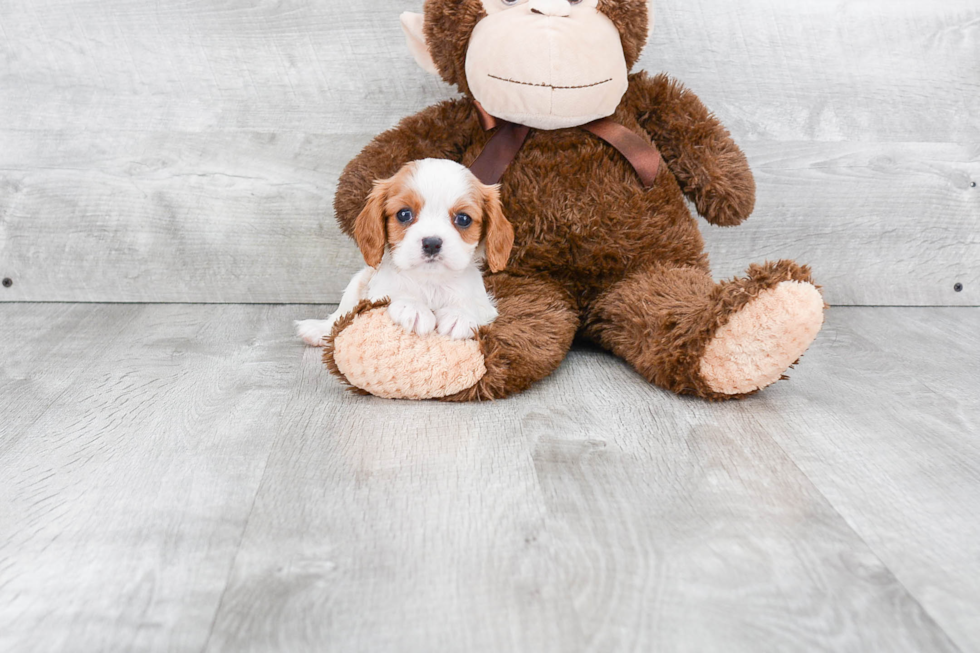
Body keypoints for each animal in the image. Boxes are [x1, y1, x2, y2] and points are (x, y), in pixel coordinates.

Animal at [296, 159, 512, 344]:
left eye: (464, 219)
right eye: (404, 214)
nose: (432, 243)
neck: (431, 282)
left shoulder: (485, 304)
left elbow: (474, 305)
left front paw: (461, 314)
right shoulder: (377, 293)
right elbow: (391, 296)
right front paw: (413, 307)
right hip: (357, 281)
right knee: (341, 313)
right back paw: (318, 330)